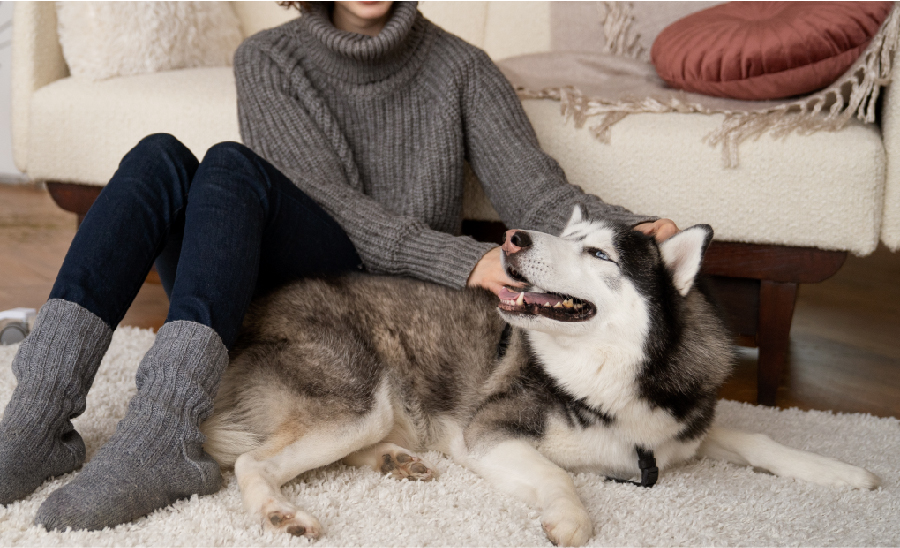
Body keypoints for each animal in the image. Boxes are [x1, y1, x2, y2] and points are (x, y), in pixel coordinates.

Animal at [202, 208, 880, 544]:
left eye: (598, 252)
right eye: (565, 235)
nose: (512, 238)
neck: (607, 377)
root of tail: (248, 315)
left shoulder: (680, 431)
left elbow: (762, 439)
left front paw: (842, 472)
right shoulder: (490, 435)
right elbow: (558, 475)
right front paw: (573, 519)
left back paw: (394, 460)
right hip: (361, 398)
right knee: (253, 461)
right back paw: (283, 514)